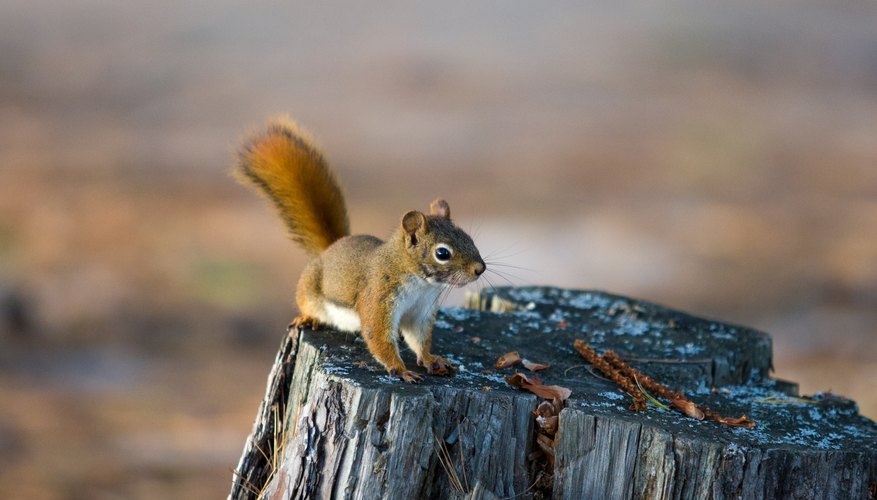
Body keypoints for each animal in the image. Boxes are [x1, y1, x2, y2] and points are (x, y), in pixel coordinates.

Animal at [233, 117, 486, 382]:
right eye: (442, 253)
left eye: (468, 238)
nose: (480, 268)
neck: (420, 283)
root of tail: (331, 248)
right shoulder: (378, 298)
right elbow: (379, 337)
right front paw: (402, 371)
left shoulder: (420, 311)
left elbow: (419, 340)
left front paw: (431, 360)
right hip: (309, 290)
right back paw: (309, 317)